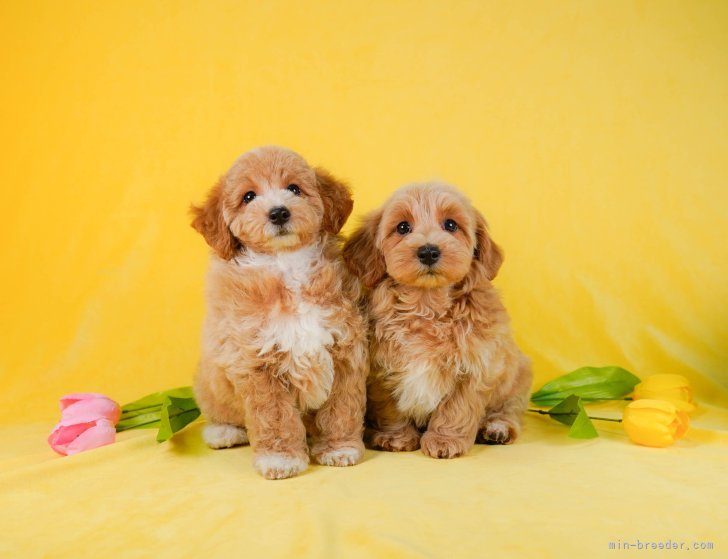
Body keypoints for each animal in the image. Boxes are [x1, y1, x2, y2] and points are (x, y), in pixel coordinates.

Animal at [191, 147, 366, 480]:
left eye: (294, 189)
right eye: (248, 196)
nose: (278, 212)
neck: (287, 265)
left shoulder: (345, 350)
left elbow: (341, 407)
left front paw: (340, 447)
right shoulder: (257, 362)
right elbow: (274, 416)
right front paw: (281, 459)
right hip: (211, 380)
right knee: (218, 412)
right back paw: (223, 432)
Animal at [344, 183, 532, 460]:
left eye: (451, 225)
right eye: (402, 227)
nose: (429, 251)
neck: (427, 305)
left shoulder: (476, 365)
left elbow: (456, 408)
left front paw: (445, 440)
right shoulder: (381, 370)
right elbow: (389, 407)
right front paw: (395, 437)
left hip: (517, 375)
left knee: (510, 409)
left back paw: (497, 428)